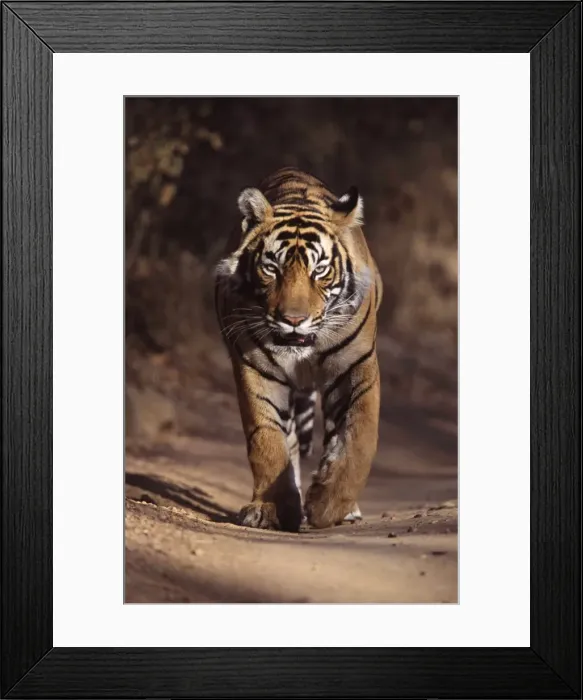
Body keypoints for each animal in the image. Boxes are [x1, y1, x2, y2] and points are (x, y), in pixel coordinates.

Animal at [214, 167, 382, 532]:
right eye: (271, 268)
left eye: (319, 270)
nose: (292, 320)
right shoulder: (254, 369)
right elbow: (267, 440)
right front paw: (271, 509)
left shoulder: (355, 365)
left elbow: (359, 436)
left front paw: (327, 506)